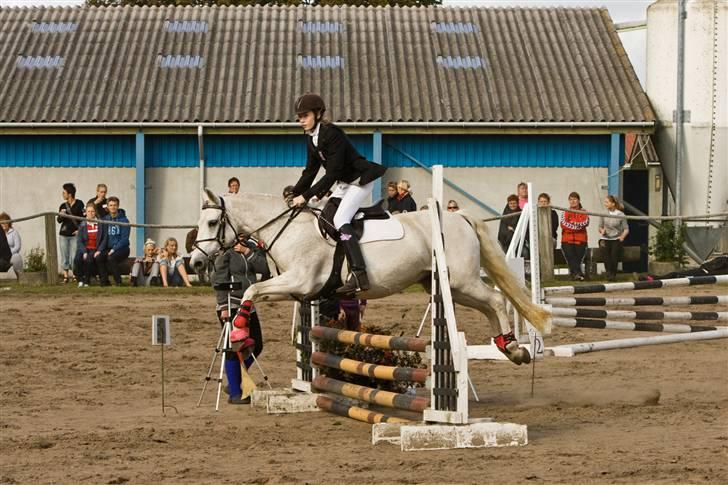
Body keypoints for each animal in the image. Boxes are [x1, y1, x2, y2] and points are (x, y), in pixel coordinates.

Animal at [191, 189, 548, 364]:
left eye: (212, 223)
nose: (194, 262)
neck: (289, 228)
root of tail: (458, 216)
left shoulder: (300, 281)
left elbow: (251, 291)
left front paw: (239, 334)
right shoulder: (297, 289)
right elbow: (254, 291)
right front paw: (241, 332)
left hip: (461, 281)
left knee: (495, 299)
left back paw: (514, 348)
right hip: (453, 286)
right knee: (489, 305)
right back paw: (507, 347)